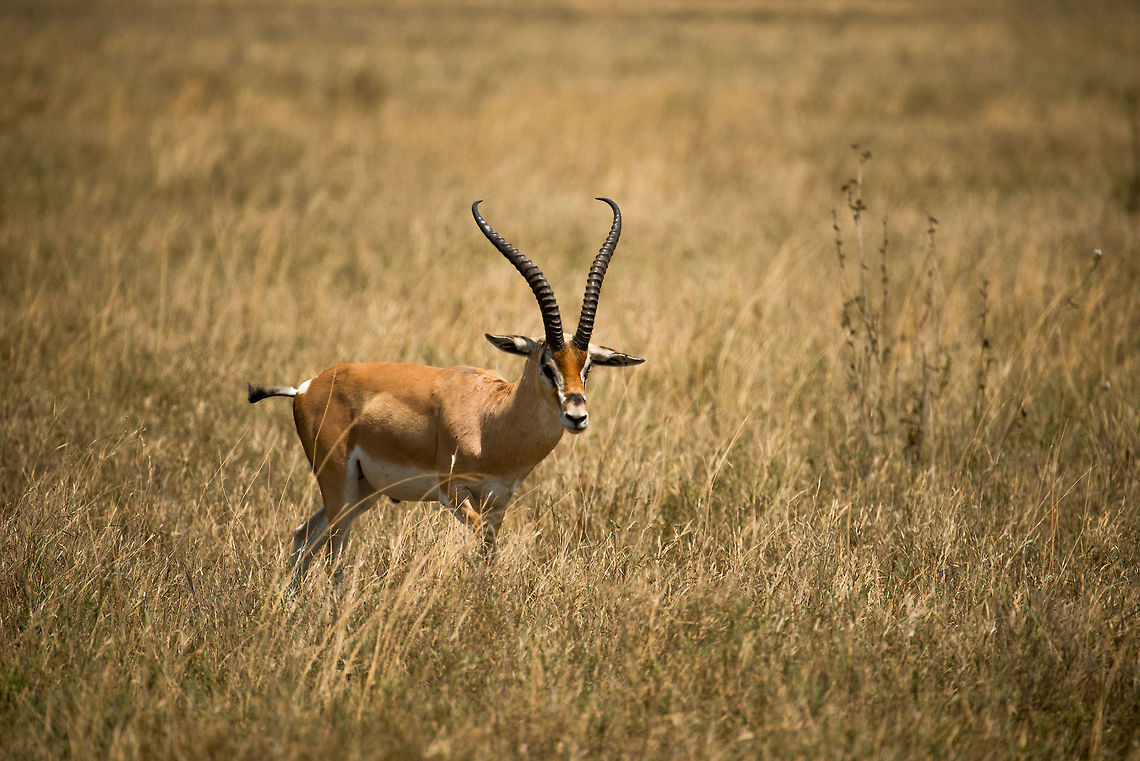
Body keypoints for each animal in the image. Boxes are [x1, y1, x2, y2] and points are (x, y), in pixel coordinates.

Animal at [248, 198, 644, 578]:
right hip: (341, 487)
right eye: (547, 365)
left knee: (304, 536)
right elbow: (484, 544)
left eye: (587, 367)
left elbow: (489, 551)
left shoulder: (499, 499)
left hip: (363, 490)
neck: (491, 418)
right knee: (333, 553)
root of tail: (305, 387)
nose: (576, 415)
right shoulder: (453, 491)